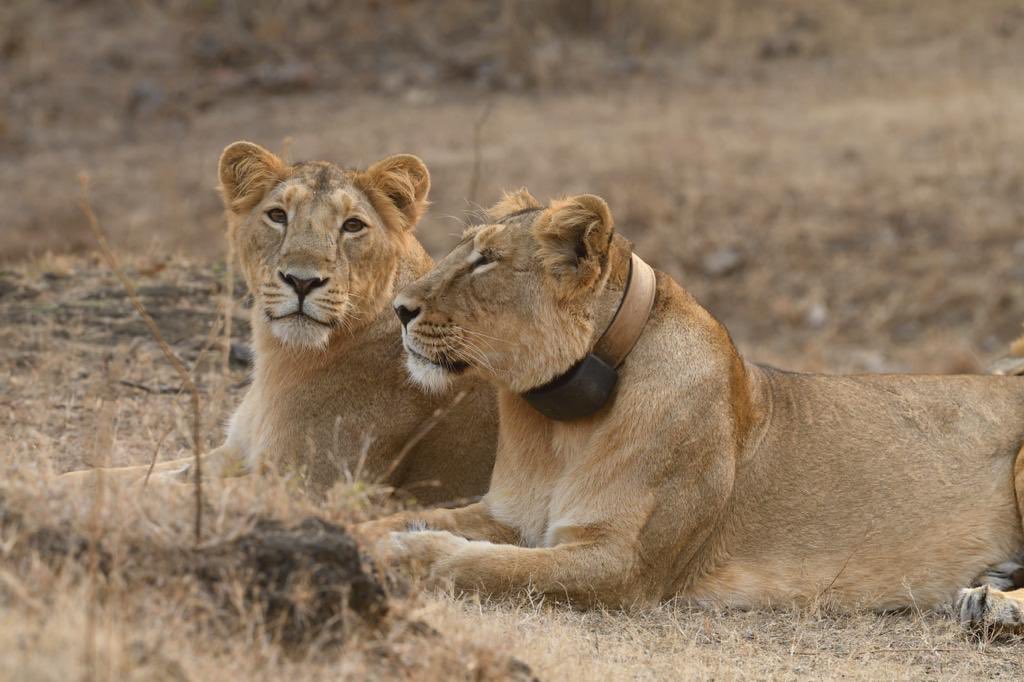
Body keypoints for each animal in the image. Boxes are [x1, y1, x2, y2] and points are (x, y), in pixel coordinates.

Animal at [61, 142, 497, 503]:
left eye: (353, 225)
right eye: (277, 216)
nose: (301, 281)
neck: (280, 358)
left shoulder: (309, 488)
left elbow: (146, 492)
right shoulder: (232, 452)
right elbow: (118, 475)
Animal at [358, 188, 1024, 631]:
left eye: (487, 261)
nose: (399, 309)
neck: (556, 426)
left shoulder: (624, 565)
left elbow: (489, 567)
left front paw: (407, 555)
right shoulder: (510, 516)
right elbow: (418, 519)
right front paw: (361, 530)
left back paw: (992, 603)